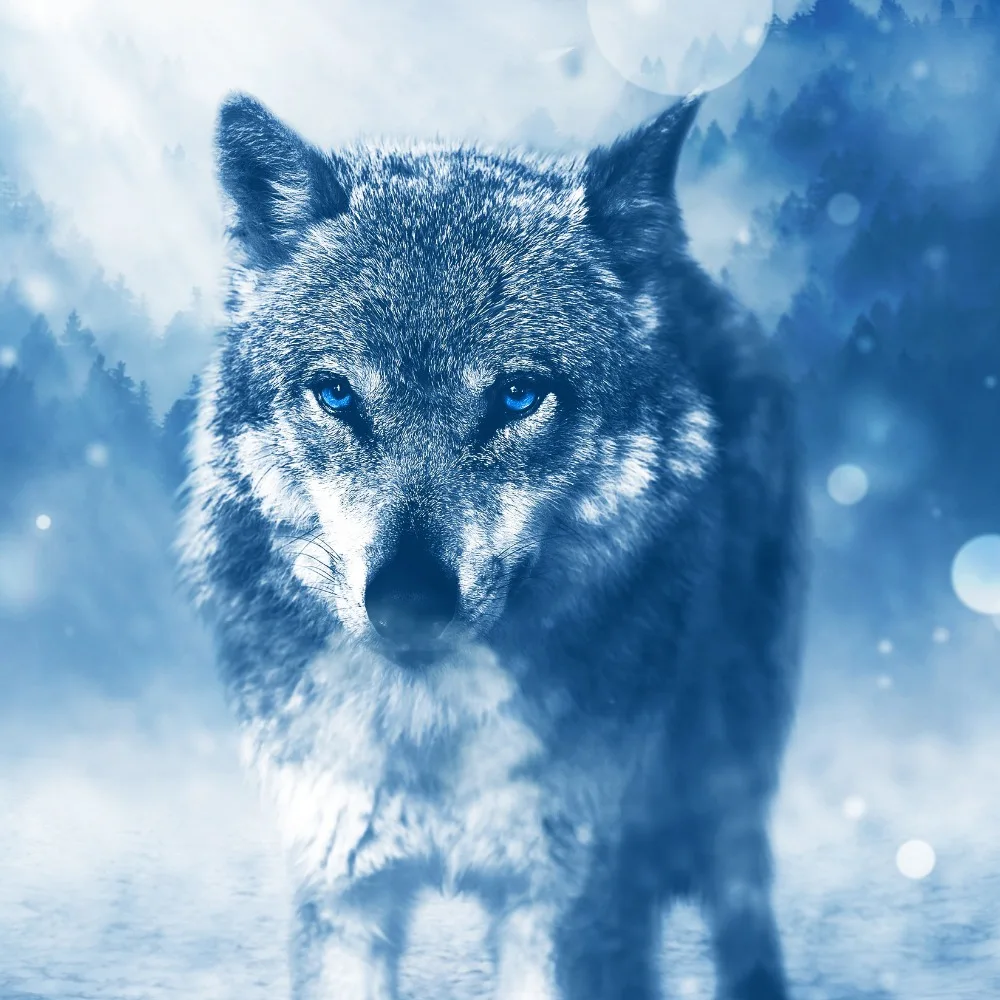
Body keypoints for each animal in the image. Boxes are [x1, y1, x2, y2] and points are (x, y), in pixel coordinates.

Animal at [179, 90, 806, 1000]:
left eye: (517, 396)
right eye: (337, 394)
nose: (407, 602)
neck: (431, 731)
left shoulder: (566, 900)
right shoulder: (344, 887)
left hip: (725, 772)